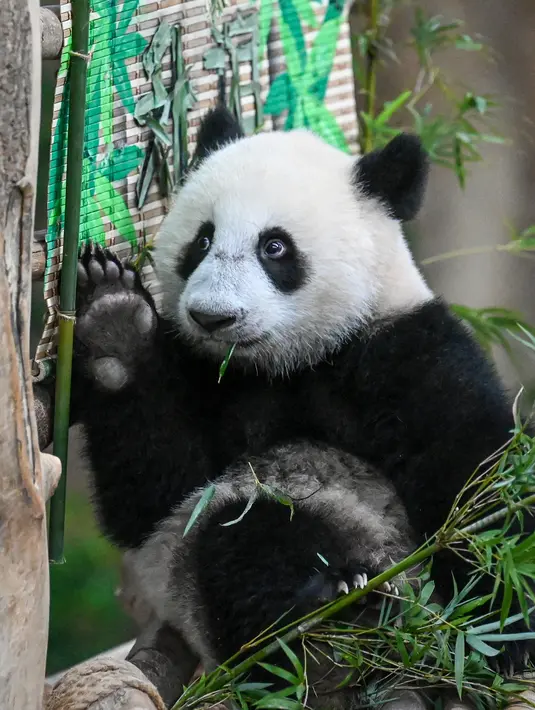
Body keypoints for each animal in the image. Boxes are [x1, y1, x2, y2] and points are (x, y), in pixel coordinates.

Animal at [71, 105, 533, 706]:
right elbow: (157, 493)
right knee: (244, 536)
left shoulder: (403, 345)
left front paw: (501, 625)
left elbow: (473, 475)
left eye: (275, 247)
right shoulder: (196, 373)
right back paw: (329, 612)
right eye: (202, 240)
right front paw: (116, 328)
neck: (282, 364)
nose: (212, 317)